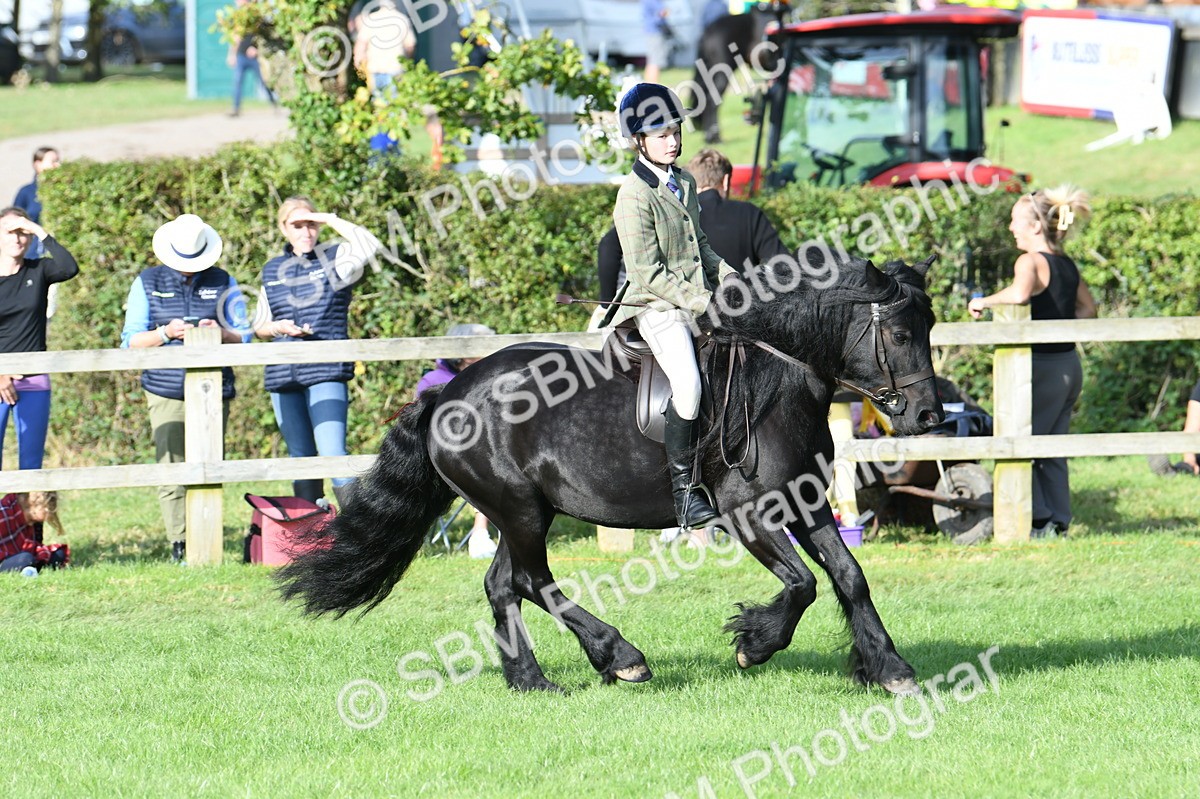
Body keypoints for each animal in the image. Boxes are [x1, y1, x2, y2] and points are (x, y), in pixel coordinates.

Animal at [277, 253, 943, 696]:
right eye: (900, 333)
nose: (929, 415)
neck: (779, 379)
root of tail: (449, 394)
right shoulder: (748, 513)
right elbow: (803, 584)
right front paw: (754, 644)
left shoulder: (805, 503)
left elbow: (849, 576)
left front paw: (890, 670)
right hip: (519, 510)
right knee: (532, 580)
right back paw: (619, 655)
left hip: (523, 511)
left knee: (503, 584)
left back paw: (531, 680)